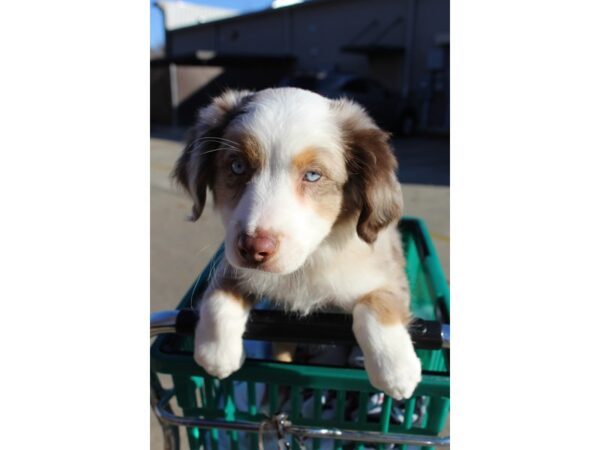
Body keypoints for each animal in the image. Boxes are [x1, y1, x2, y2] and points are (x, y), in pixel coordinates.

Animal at [173, 88, 422, 400]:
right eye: (237, 166)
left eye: (313, 175)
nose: (253, 250)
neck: (307, 263)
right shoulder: (233, 264)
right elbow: (218, 293)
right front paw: (215, 353)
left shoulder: (389, 271)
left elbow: (376, 304)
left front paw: (396, 369)